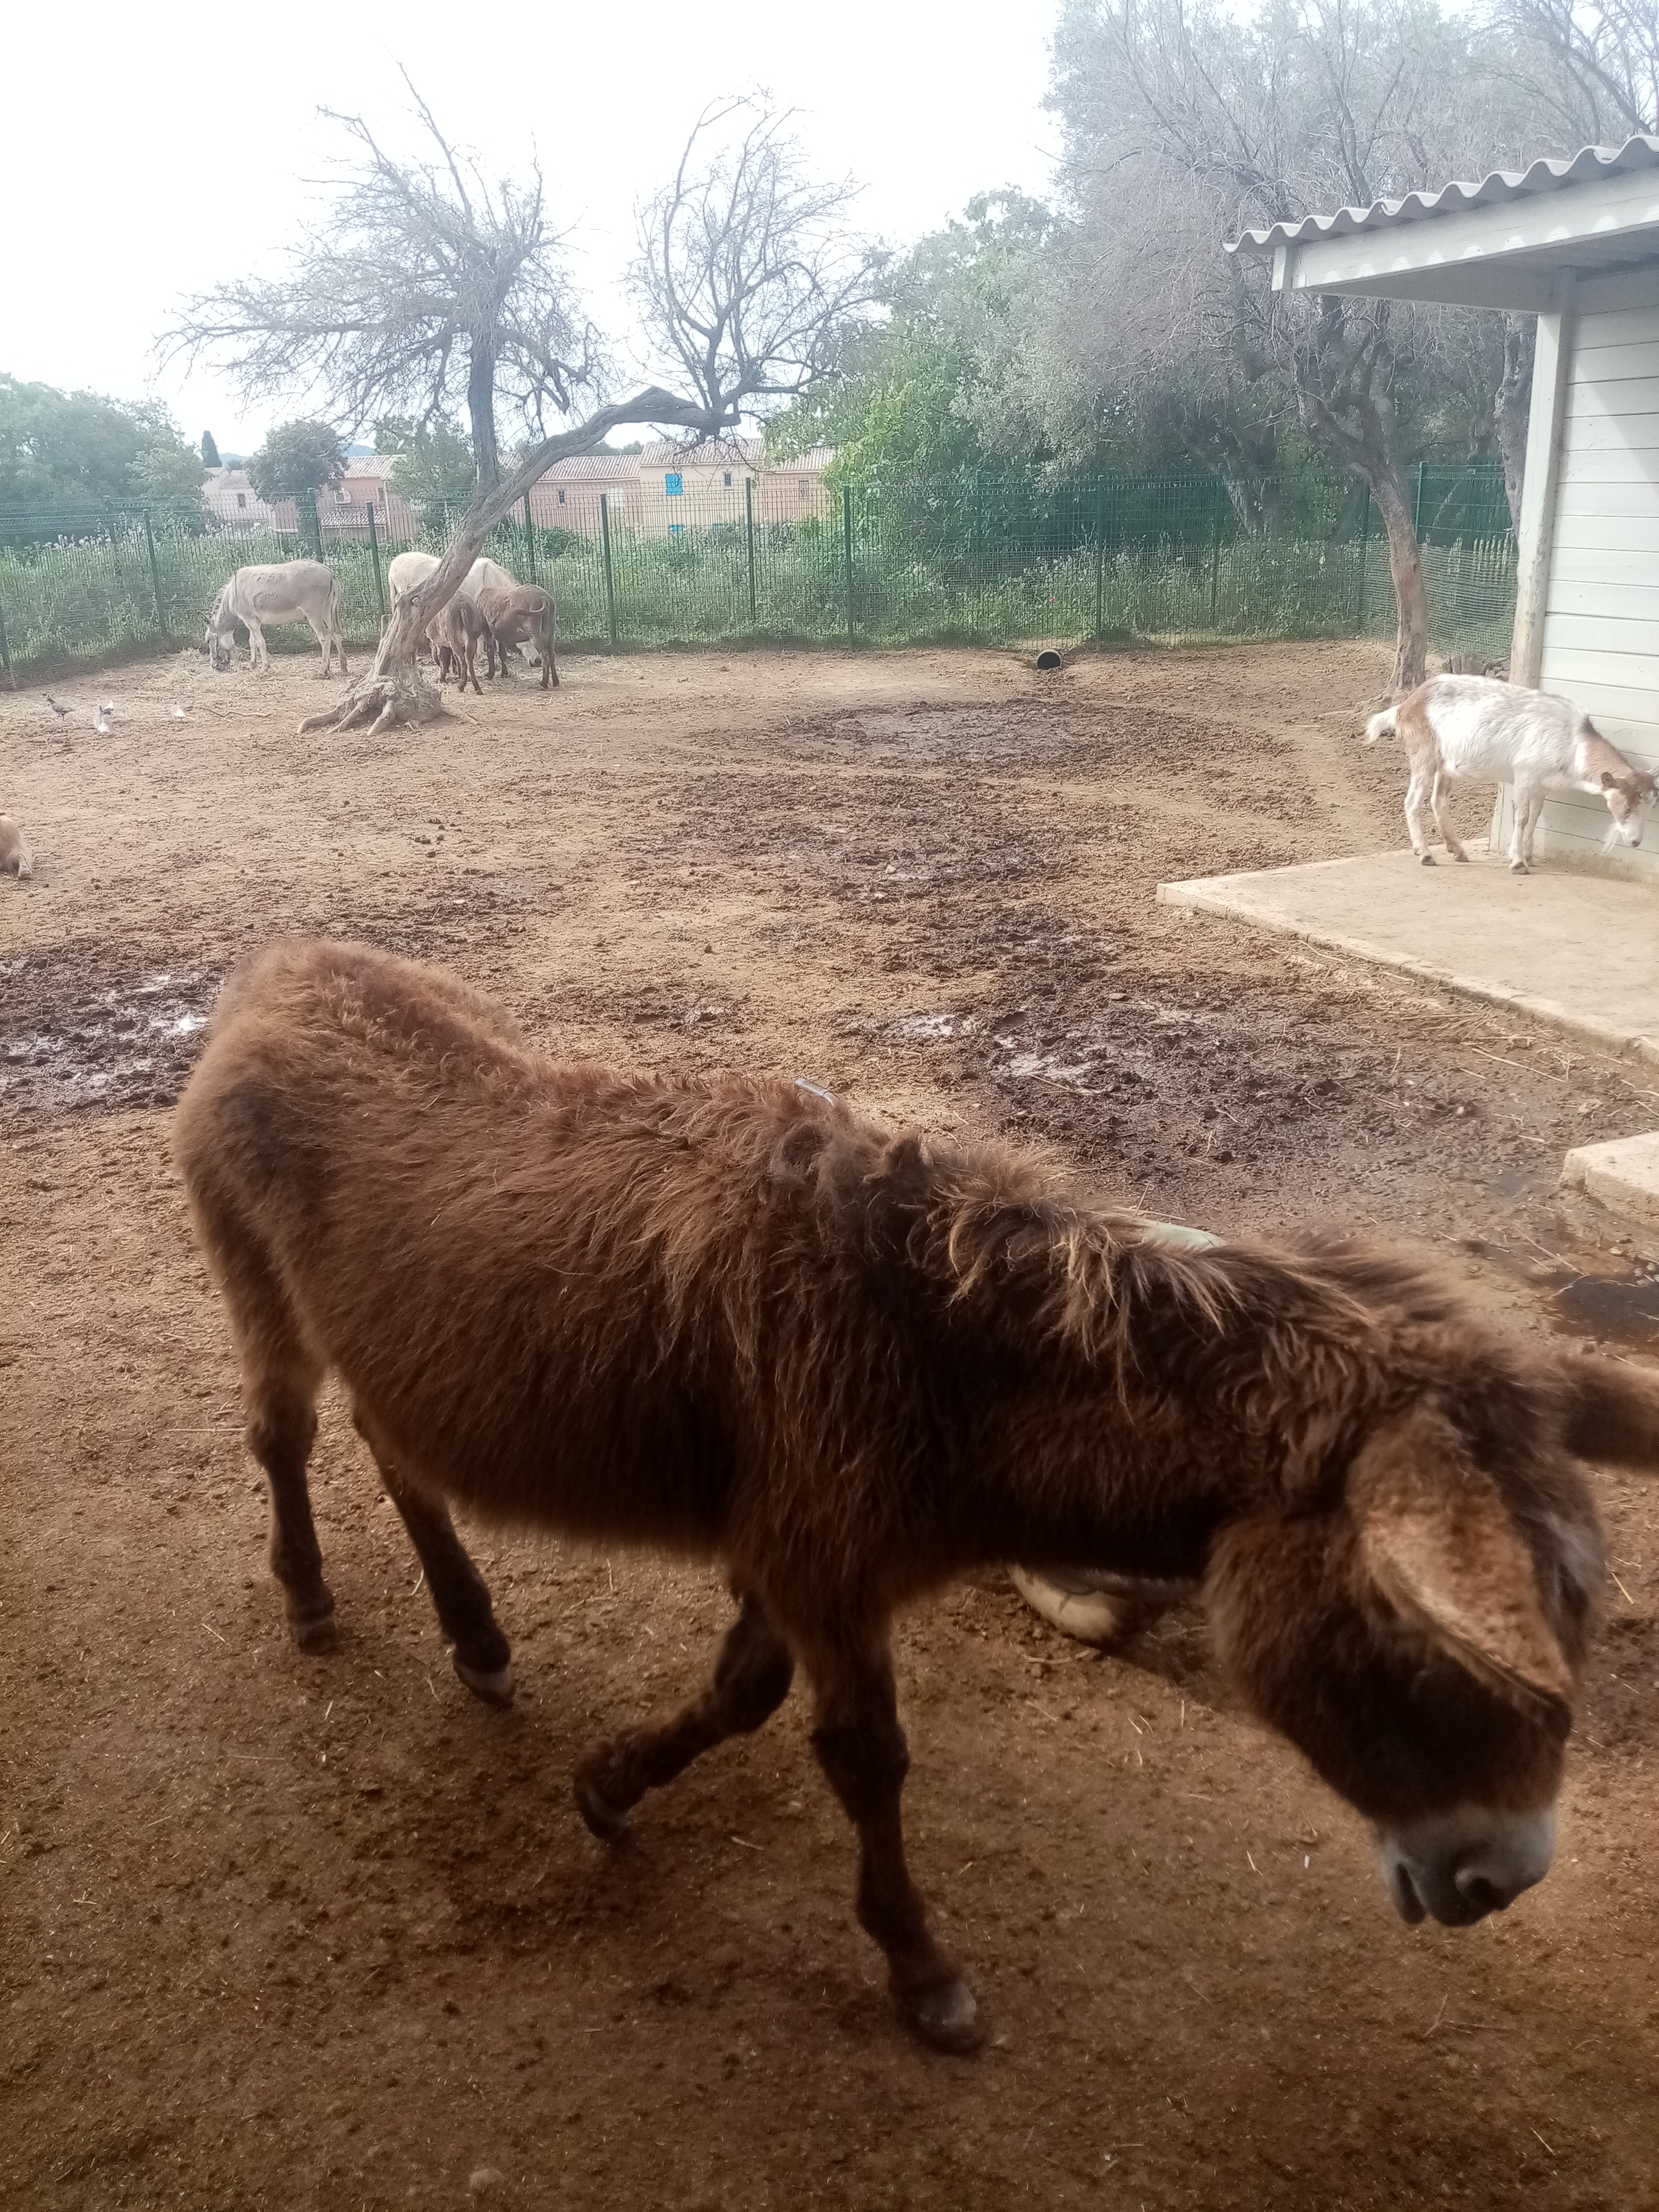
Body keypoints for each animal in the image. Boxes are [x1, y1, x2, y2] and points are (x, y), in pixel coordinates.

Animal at [174, 939, 1653, 2052]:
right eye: (1421, 1633)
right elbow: (863, 1757)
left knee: (395, 1449)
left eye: (1579, 1614)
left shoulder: (798, 1549)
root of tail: (287, 966)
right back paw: (310, 1601)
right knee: (281, 1429)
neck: (932, 1351)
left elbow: (741, 1694)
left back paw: (477, 1640)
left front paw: (609, 1785)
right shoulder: (824, 1561)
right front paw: (920, 1969)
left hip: (387, 1341)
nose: (1505, 1878)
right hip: (255, 1278)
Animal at [476, 584, 558, 689]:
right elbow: (502, 653)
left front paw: (490, 675)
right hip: (549, 630)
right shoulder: (501, 636)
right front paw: (504, 674)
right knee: (551, 654)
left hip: (534, 632)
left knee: (545, 655)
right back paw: (556, 682)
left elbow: (491, 652)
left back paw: (544, 683)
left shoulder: (487, 631)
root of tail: (544, 598)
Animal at [1365, 675, 1656, 872]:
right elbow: (1522, 817)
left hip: (1445, 764)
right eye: (1626, 807)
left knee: (1439, 801)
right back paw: (1426, 855)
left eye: (1651, 808)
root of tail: (1404, 707)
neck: (1575, 744)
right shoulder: (1525, 775)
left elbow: (1536, 817)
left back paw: (1458, 851)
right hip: (1423, 755)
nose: (1635, 842)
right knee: (1412, 802)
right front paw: (1517, 863)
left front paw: (1529, 857)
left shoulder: (1542, 785)